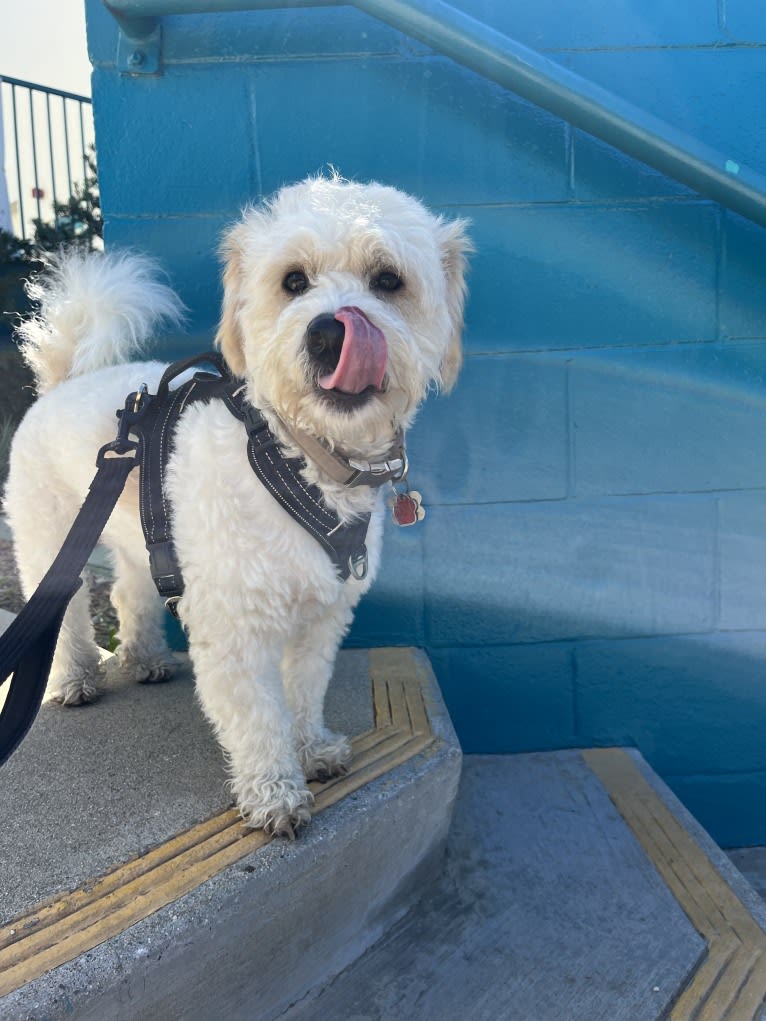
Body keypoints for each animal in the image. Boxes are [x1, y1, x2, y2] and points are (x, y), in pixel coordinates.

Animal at [6, 171, 471, 833]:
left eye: (388, 280)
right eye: (293, 281)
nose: (330, 332)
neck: (296, 459)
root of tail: (63, 382)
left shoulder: (320, 620)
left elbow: (302, 694)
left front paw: (311, 749)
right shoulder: (235, 633)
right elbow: (258, 719)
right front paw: (274, 792)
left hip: (145, 540)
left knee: (129, 592)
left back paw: (145, 658)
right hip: (49, 538)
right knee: (62, 612)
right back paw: (72, 678)